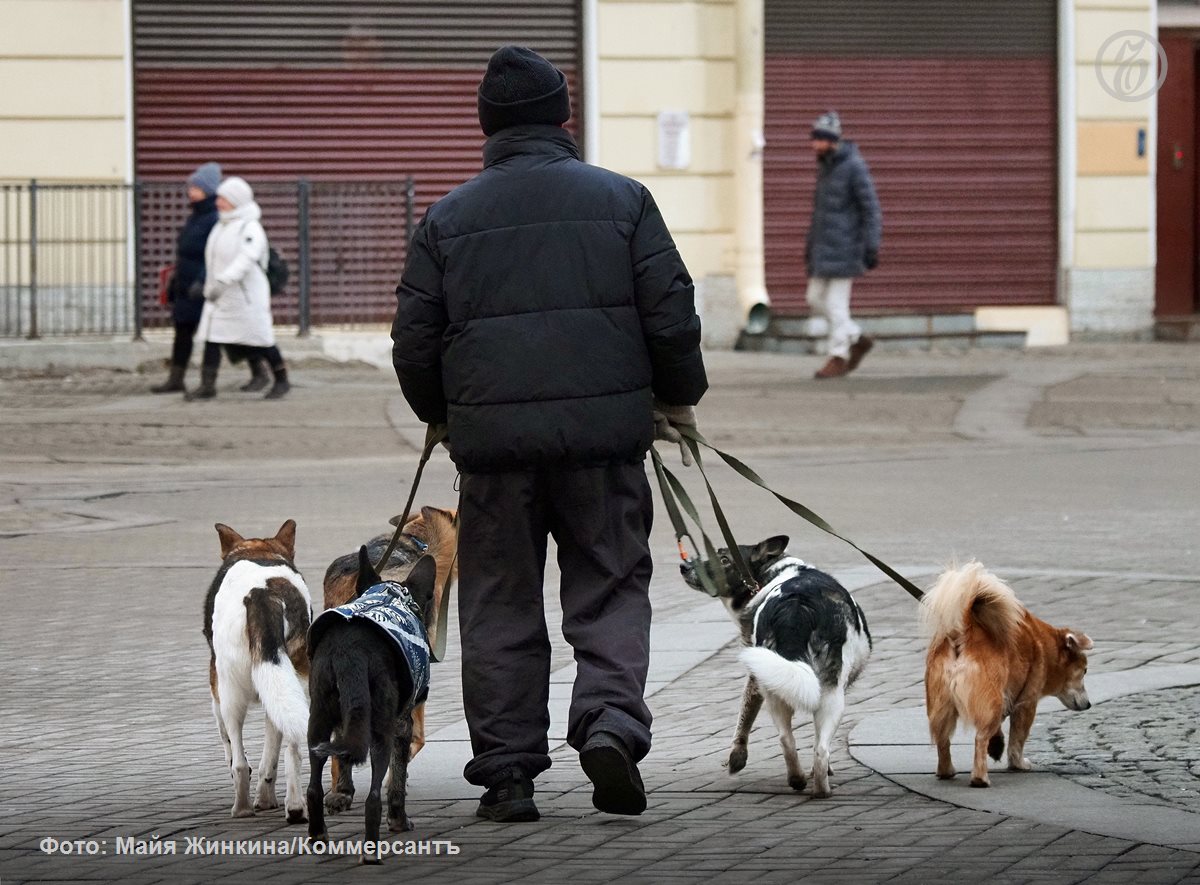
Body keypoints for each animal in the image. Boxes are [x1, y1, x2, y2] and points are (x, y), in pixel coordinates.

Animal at [202, 518, 312, 820]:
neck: (259, 552)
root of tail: (263, 595)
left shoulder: (216, 691)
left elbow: (229, 746)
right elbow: (270, 759)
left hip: (230, 693)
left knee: (239, 763)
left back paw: (241, 809)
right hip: (294, 685)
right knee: (292, 749)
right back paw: (293, 806)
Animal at [304, 549, 436, 858]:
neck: (391, 595)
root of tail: (349, 651)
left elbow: (343, 756)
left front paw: (342, 792)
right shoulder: (402, 725)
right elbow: (397, 780)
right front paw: (398, 820)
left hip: (318, 723)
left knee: (313, 789)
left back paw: (318, 835)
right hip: (381, 733)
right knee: (374, 797)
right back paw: (372, 848)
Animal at [686, 534, 873, 796]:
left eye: (723, 559)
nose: (684, 567)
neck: (773, 572)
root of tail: (796, 604)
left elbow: (745, 717)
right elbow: (745, 717)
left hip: (776, 685)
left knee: (787, 739)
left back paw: (798, 779)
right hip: (830, 694)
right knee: (820, 749)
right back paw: (821, 788)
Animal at [921, 561, 1094, 781]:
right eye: (1085, 671)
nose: (1089, 705)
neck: (1045, 646)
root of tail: (964, 630)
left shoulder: (1004, 698)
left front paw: (997, 745)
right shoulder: (1026, 703)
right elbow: (1017, 739)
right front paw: (1017, 763)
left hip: (941, 704)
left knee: (943, 740)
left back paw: (947, 771)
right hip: (989, 699)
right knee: (980, 738)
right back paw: (980, 778)